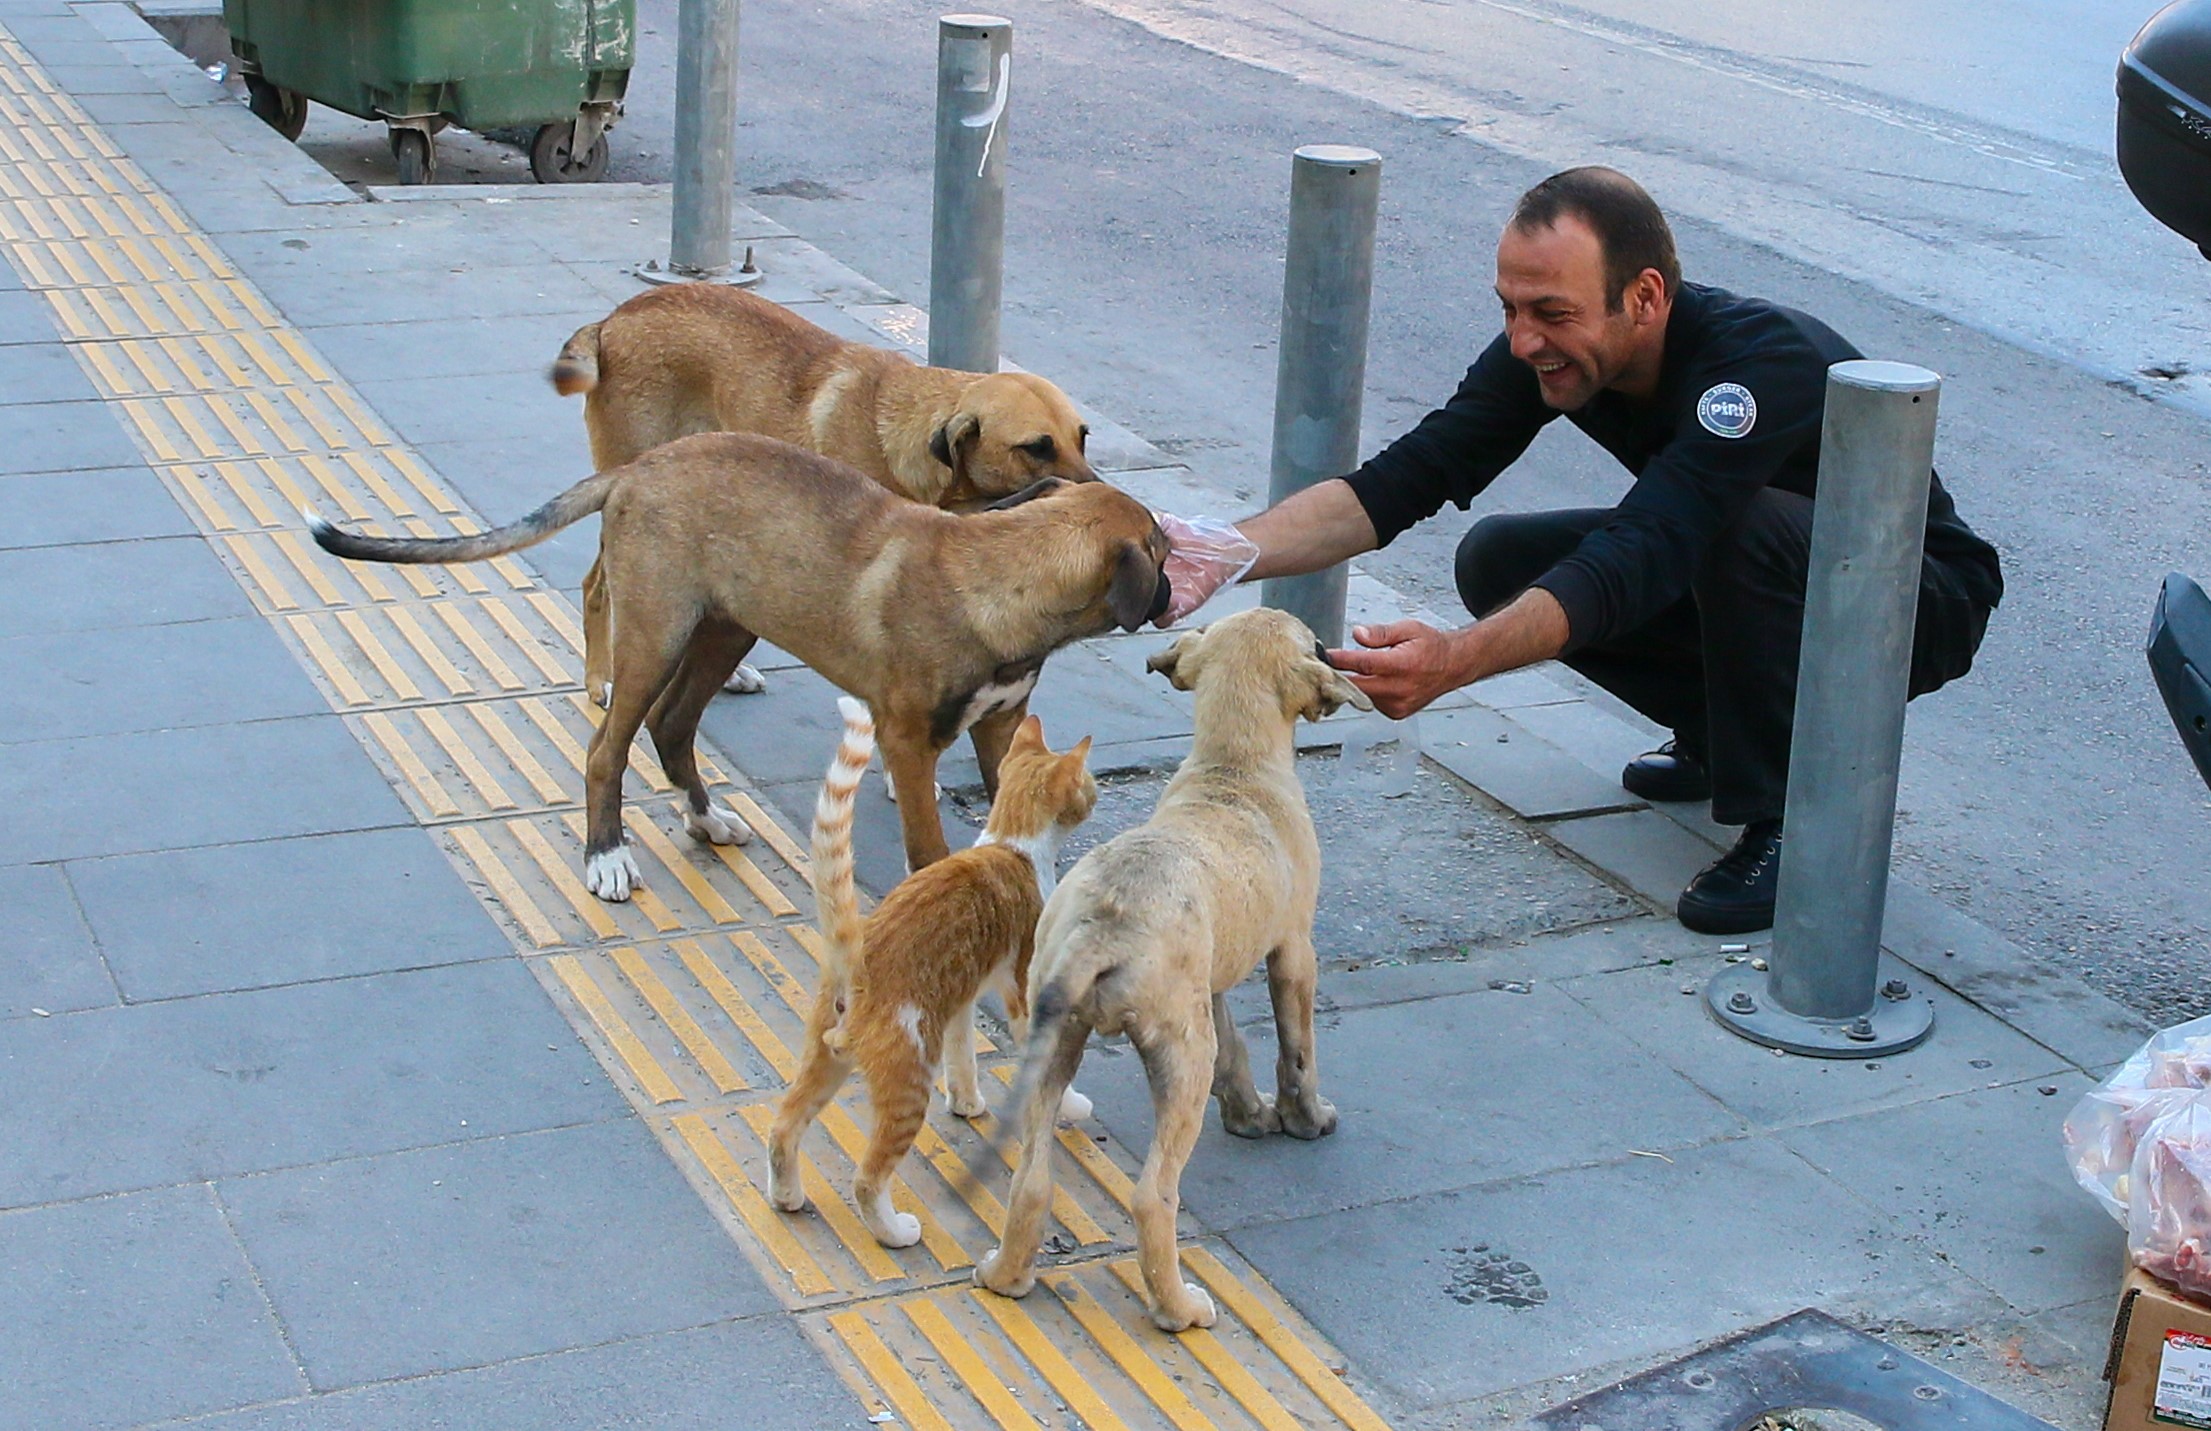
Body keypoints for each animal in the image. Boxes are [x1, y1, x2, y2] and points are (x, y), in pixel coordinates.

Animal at [311, 431, 1176, 889]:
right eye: (1163, 551)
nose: (1173, 590)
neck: (998, 571)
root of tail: (636, 467)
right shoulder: (905, 742)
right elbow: (928, 846)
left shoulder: (999, 727)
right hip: (655, 633)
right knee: (606, 749)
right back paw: (605, 856)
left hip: (725, 629)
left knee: (671, 728)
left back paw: (704, 819)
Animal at [546, 283, 1096, 703]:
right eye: (1036, 448)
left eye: (1083, 437)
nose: (1100, 493)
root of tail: (613, 320)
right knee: (595, 587)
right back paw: (601, 679)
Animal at [765, 698, 1101, 1247]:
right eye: (1089, 783)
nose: (1097, 796)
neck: (1012, 844)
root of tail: (856, 962)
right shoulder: (1023, 988)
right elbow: (1041, 1058)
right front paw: (1070, 1105)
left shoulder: (961, 993)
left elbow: (963, 1055)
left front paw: (967, 1102)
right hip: (908, 1081)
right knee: (867, 1178)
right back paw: (893, 1230)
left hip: (824, 1060)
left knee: (783, 1127)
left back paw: (787, 1196)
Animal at [981, 606, 1370, 1335]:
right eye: (1313, 643)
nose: (1332, 650)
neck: (1233, 767)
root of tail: (1103, 926)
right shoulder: (1294, 952)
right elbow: (1296, 1050)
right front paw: (1305, 1119)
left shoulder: (1211, 985)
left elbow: (1238, 1051)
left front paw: (1249, 1115)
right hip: (1180, 1059)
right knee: (1152, 1194)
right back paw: (1178, 1306)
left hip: (1059, 1041)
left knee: (1032, 1180)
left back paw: (1006, 1275)